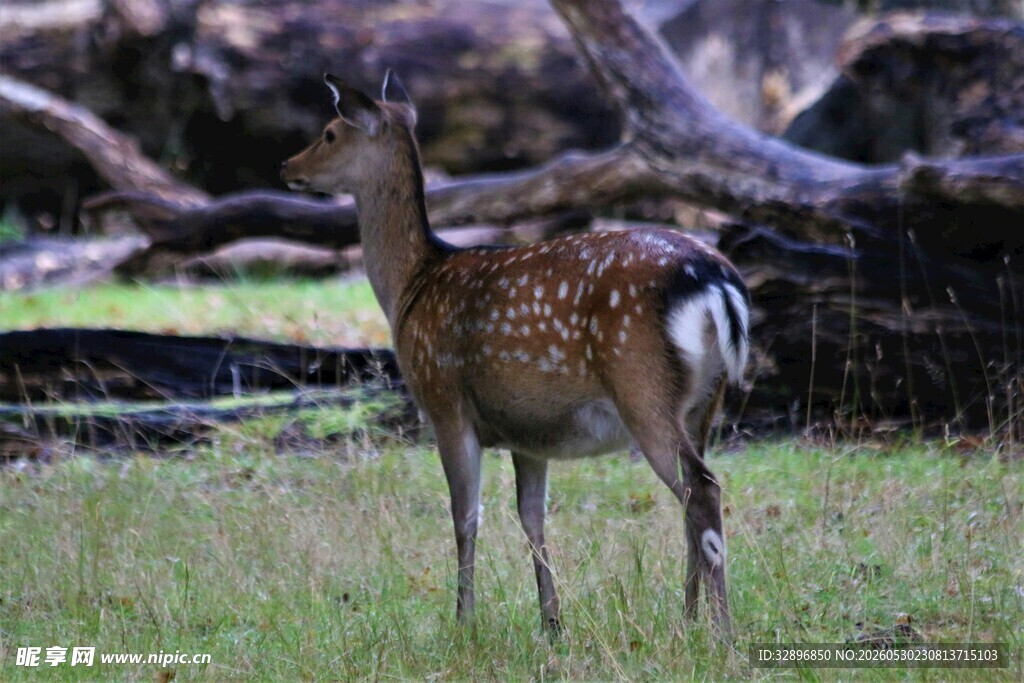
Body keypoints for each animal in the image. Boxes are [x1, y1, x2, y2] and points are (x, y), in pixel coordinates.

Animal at [281, 71, 750, 637]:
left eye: (329, 132)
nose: (287, 167)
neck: (412, 286)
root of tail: (718, 283)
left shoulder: (443, 400)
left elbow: (465, 516)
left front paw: (463, 621)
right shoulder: (530, 430)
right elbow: (532, 519)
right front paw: (551, 622)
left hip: (642, 385)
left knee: (702, 489)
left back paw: (721, 632)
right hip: (706, 402)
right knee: (691, 497)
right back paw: (686, 619)